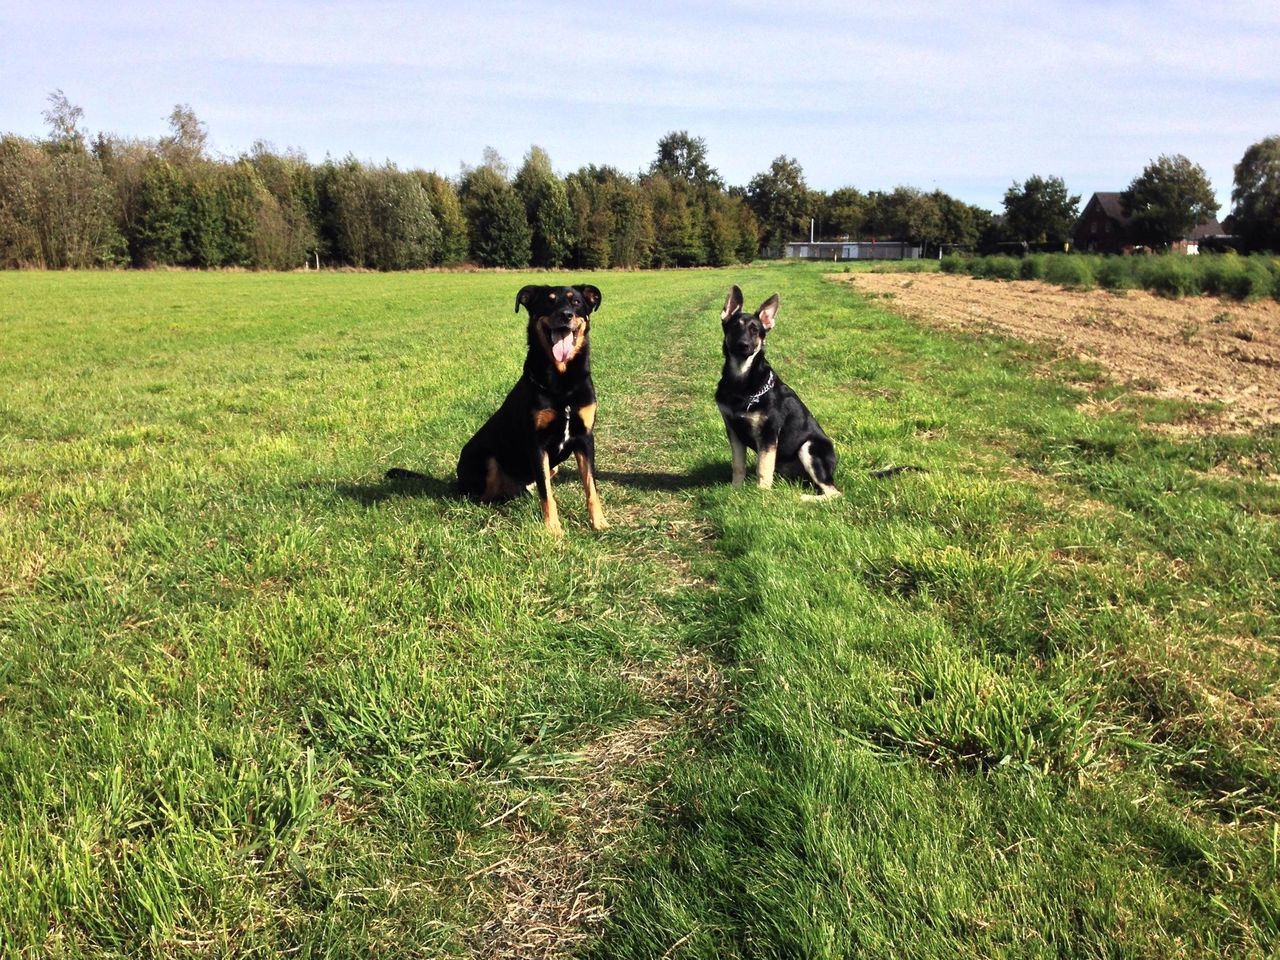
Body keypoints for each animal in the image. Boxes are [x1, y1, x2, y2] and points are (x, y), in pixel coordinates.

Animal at [455, 285, 604, 537]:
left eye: (576, 302)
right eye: (549, 301)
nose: (566, 315)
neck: (562, 383)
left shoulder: (585, 438)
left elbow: (591, 486)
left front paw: (599, 522)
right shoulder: (537, 444)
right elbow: (547, 494)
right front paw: (553, 530)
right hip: (487, 459)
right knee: (483, 497)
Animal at [721, 284, 839, 499]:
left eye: (756, 331)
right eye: (734, 327)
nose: (743, 345)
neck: (742, 381)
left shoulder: (769, 433)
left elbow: (763, 467)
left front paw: (761, 495)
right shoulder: (733, 429)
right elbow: (738, 465)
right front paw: (735, 490)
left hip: (809, 448)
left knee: (833, 492)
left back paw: (804, 498)